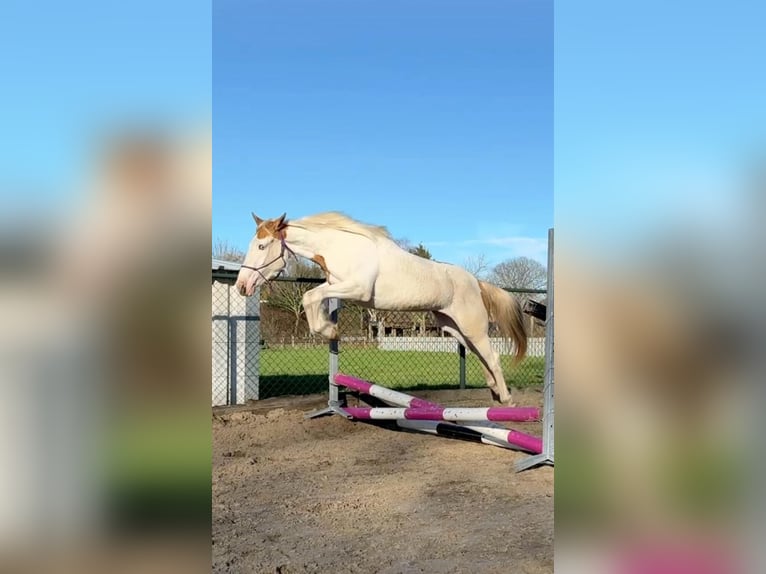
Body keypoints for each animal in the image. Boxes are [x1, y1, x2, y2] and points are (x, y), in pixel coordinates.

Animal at [235, 211, 527, 405]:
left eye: (261, 245)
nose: (242, 286)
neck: (340, 247)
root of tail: (476, 281)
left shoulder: (357, 290)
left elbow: (309, 295)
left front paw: (330, 331)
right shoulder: (338, 287)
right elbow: (314, 297)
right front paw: (329, 328)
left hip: (472, 326)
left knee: (492, 356)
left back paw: (508, 399)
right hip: (452, 326)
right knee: (480, 355)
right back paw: (495, 391)